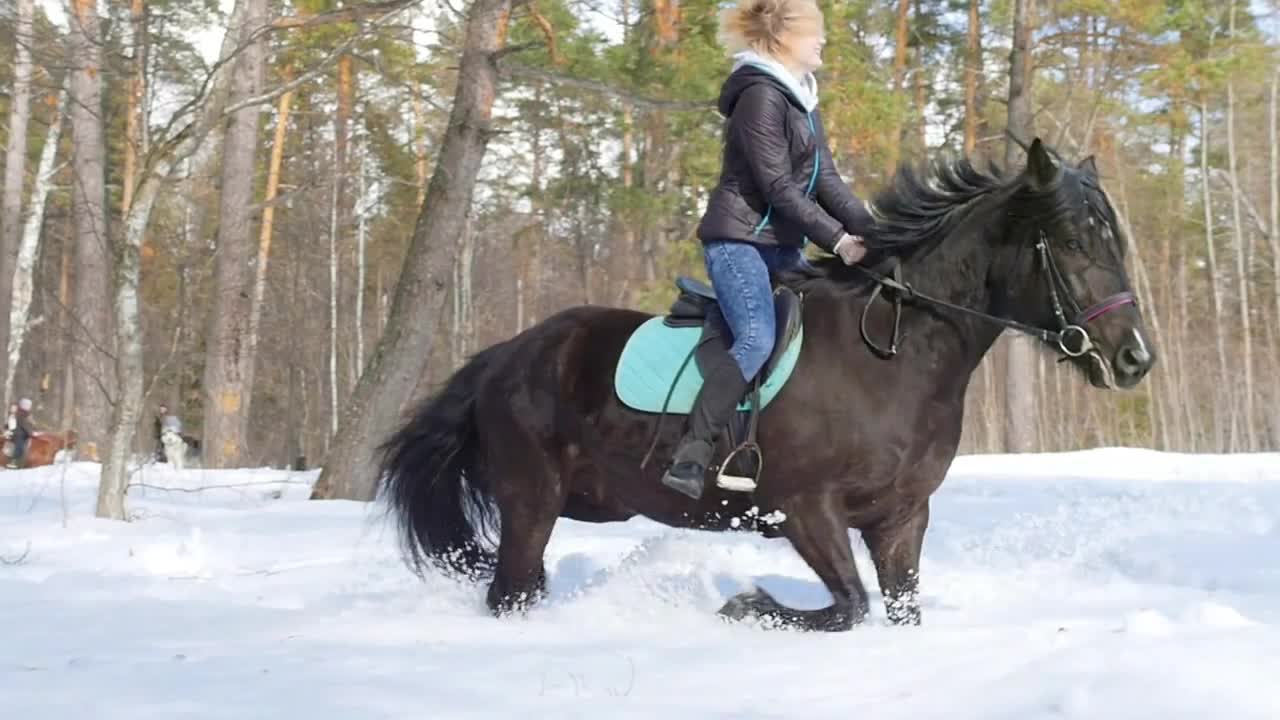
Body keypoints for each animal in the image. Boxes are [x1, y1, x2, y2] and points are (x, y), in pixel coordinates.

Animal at [378, 139, 1162, 627]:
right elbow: (848, 607)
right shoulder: (805, 509)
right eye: (1073, 243)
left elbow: (897, 608)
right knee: (510, 592)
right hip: (530, 503)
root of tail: (504, 356)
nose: (1134, 359)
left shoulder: (900, 518)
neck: (895, 358)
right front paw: (744, 606)